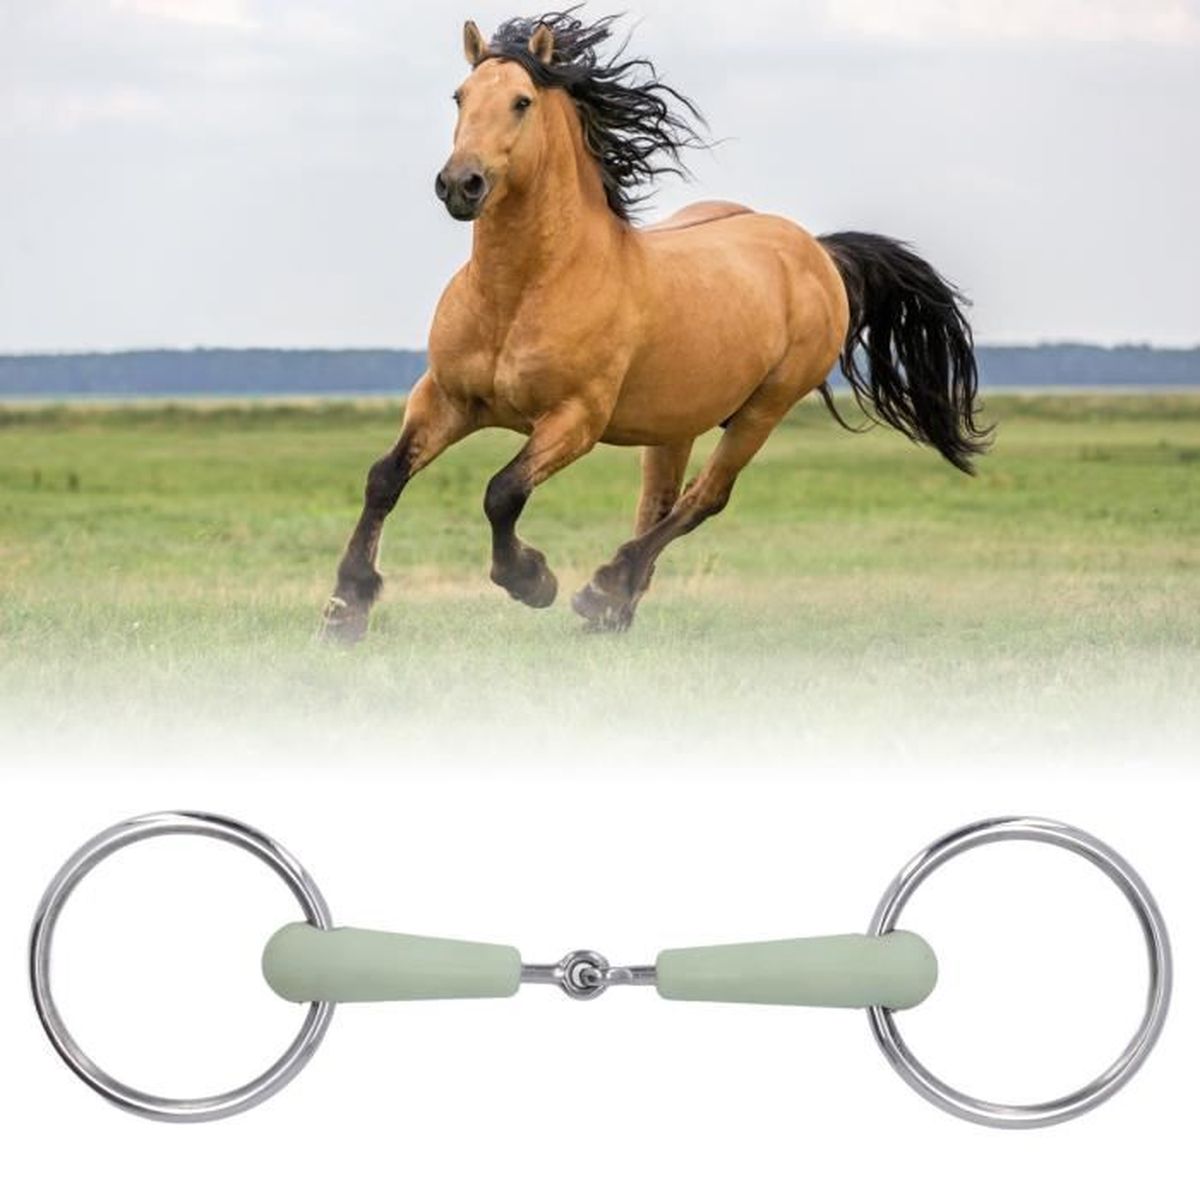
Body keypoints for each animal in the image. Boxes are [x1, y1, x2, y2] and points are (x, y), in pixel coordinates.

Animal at [321, 11, 988, 643]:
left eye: (522, 101)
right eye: (459, 96)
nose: (461, 184)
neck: (522, 291)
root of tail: (816, 250)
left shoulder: (575, 419)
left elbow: (502, 491)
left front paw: (532, 580)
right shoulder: (446, 398)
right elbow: (384, 478)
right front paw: (345, 609)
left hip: (763, 409)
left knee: (703, 499)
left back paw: (602, 591)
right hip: (676, 423)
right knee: (659, 503)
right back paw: (613, 611)